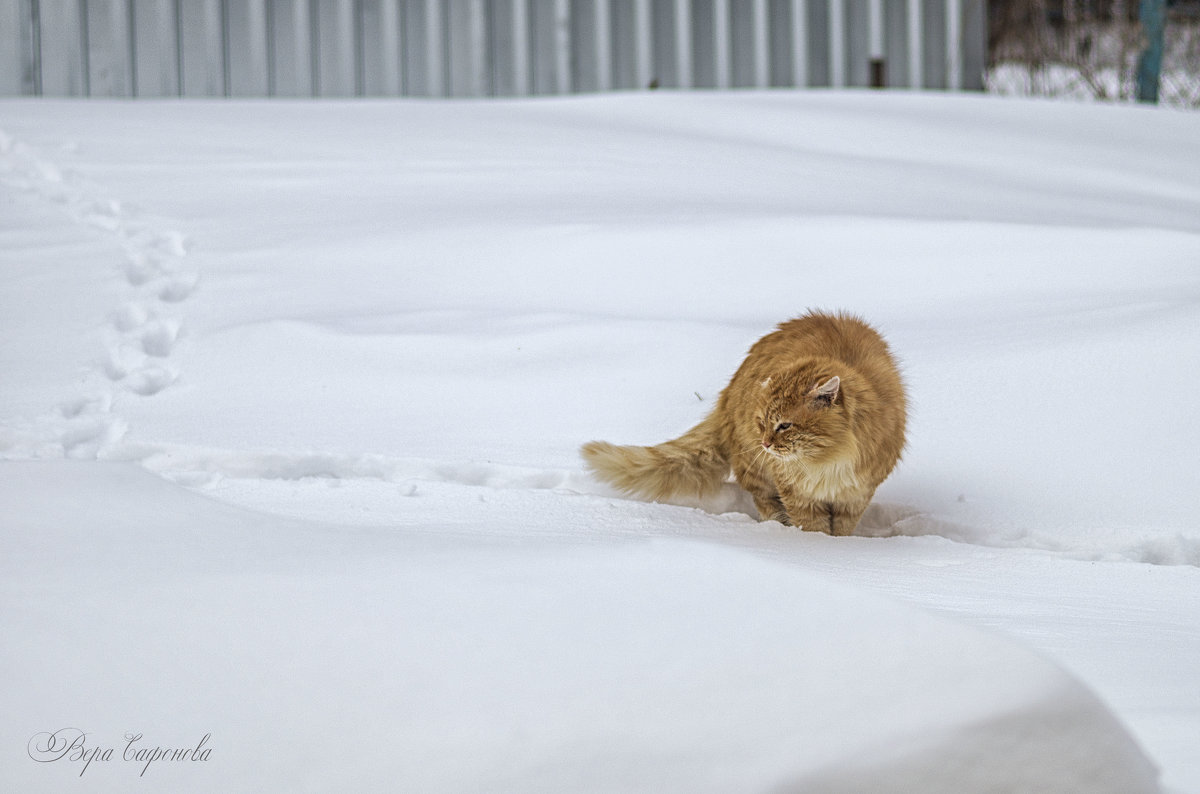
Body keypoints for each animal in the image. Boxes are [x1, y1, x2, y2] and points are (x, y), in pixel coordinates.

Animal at [576, 311, 902, 534]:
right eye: (763, 422)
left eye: (785, 425)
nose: (766, 443)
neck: (827, 462)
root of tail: (728, 394)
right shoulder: (798, 495)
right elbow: (813, 527)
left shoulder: (855, 496)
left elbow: (841, 530)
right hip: (756, 470)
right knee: (765, 503)